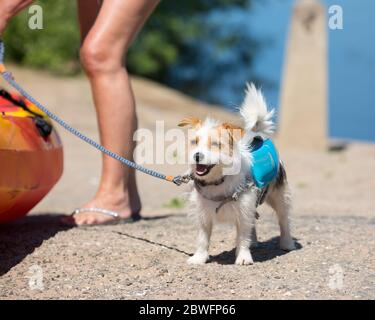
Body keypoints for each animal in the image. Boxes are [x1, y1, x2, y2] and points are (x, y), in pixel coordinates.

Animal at [179, 82, 296, 264]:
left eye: (216, 144)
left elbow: (242, 236)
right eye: (194, 142)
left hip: (280, 196)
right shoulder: (202, 213)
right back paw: (254, 242)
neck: (217, 180)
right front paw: (199, 258)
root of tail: (258, 135)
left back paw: (287, 243)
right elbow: (203, 237)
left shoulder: (244, 208)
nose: (196, 156)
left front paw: (243, 257)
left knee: (284, 219)